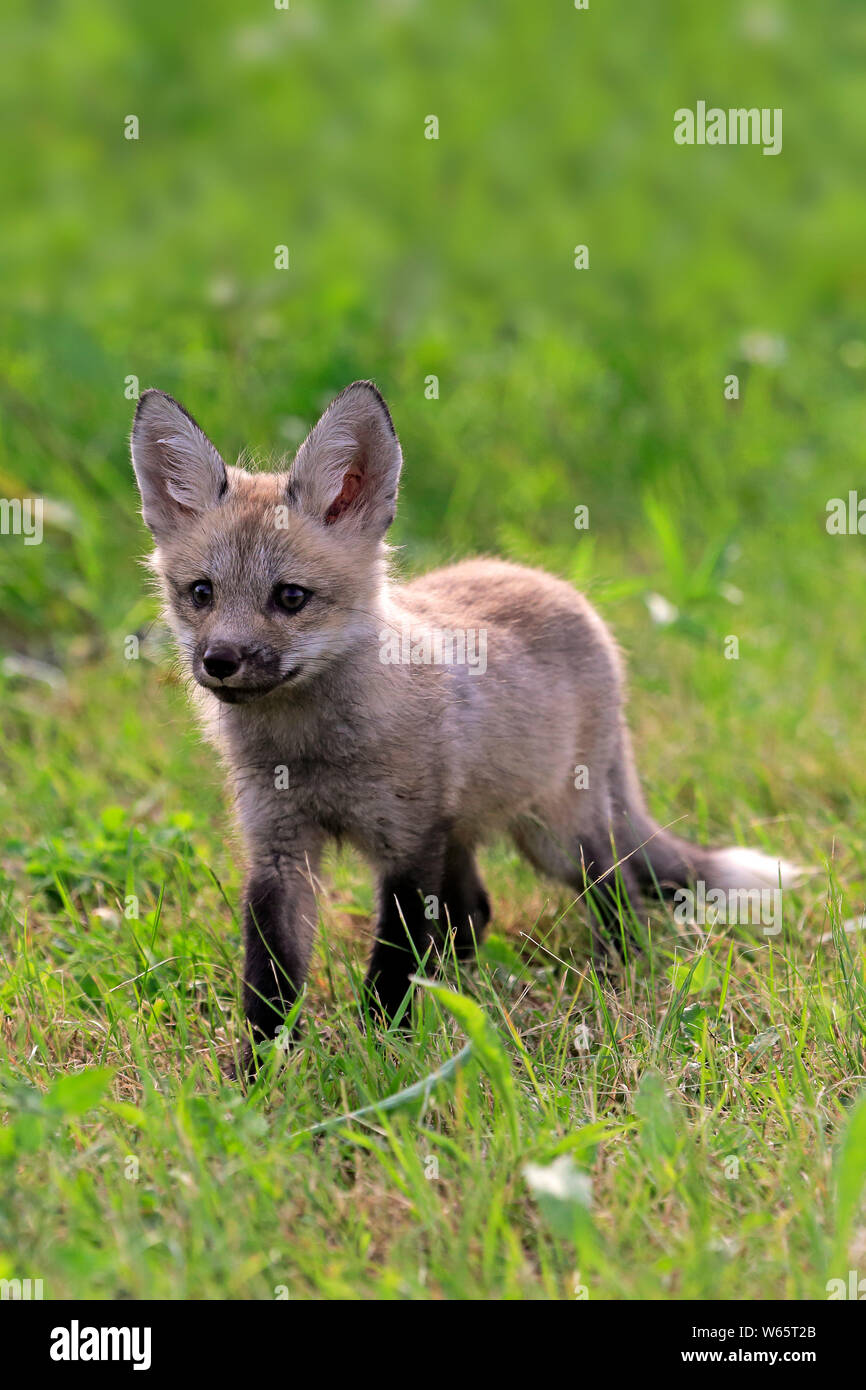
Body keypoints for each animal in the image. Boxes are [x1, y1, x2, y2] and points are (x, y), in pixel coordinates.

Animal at [128, 380, 800, 1073]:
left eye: (290, 597)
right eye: (201, 593)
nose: (219, 661)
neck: (311, 749)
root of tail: (559, 589)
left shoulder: (407, 843)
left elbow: (392, 964)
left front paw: (384, 1055)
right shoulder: (279, 851)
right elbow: (269, 978)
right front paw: (260, 1071)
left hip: (555, 834)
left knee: (620, 892)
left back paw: (620, 976)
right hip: (466, 833)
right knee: (476, 910)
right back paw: (460, 982)